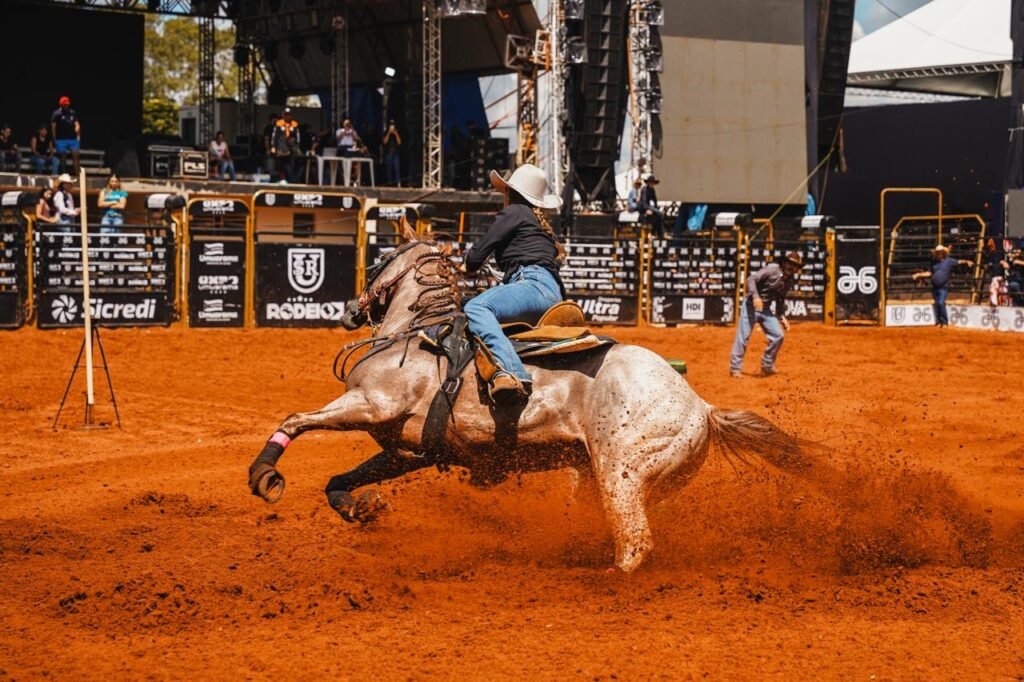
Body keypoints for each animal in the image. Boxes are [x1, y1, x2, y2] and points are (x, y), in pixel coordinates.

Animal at [247, 234, 809, 573]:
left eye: (381, 259)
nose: (347, 310)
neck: (415, 332)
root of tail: (700, 405)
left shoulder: (369, 402)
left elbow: (296, 420)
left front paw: (264, 474)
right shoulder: (408, 450)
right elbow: (340, 479)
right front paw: (362, 507)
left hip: (621, 473)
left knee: (635, 542)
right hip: (620, 478)